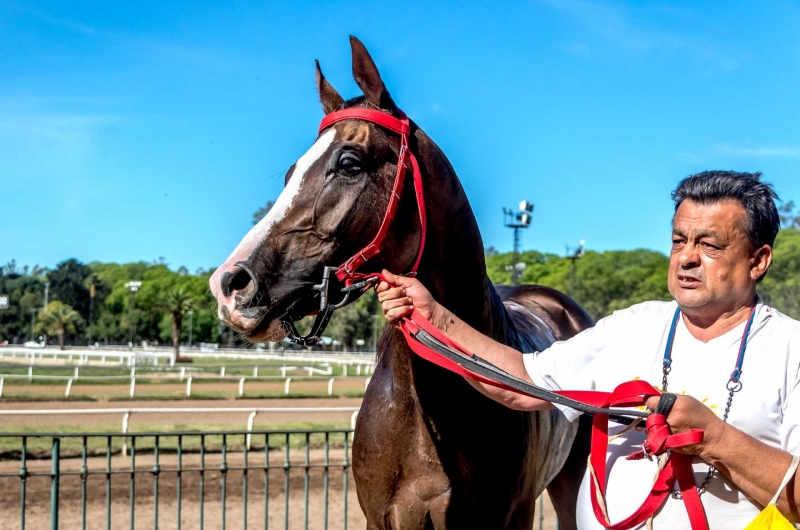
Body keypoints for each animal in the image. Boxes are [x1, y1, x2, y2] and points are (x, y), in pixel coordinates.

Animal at [209, 35, 596, 524]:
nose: (230, 284)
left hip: (571, 484)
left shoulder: (513, 513)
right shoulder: (382, 516)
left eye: (349, 163)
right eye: (290, 173)